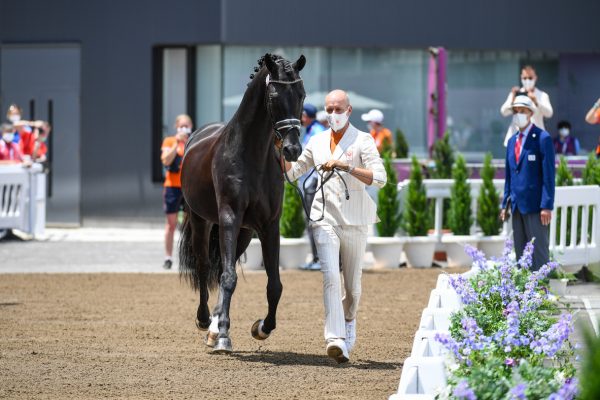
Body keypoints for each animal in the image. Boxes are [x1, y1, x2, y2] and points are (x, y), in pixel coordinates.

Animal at [178, 54, 304, 354]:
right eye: (274, 96)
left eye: (302, 95)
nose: (292, 149)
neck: (252, 155)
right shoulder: (229, 218)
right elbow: (227, 277)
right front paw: (223, 334)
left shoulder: (269, 225)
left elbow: (274, 284)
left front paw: (262, 327)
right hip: (202, 221)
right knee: (205, 267)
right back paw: (206, 322)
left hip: (245, 233)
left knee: (227, 265)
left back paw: (215, 326)